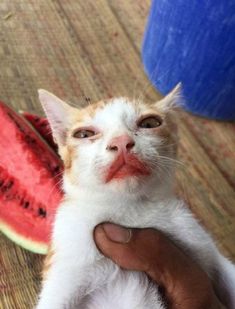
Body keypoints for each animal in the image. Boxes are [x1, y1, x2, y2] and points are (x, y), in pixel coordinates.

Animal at [35, 85, 235, 308]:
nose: (121, 142)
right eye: (84, 134)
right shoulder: (64, 272)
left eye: (150, 123)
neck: (130, 209)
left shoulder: (201, 246)